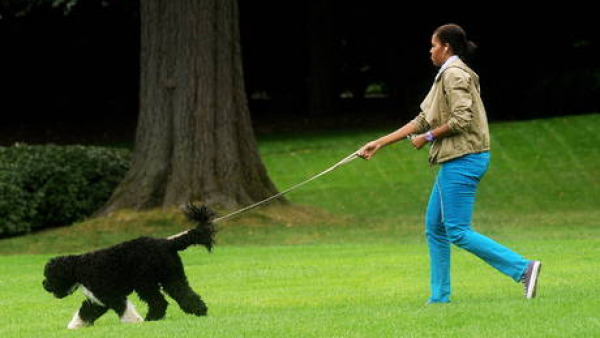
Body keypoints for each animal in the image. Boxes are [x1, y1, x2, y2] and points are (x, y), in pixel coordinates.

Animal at [44, 203, 218, 328]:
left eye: (49, 276)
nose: (44, 285)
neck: (79, 268)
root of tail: (167, 243)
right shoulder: (97, 300)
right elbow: (85, 312)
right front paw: (75, 326)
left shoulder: (110, 294)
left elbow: (123, 308)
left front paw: (134, 321)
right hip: (172, 277)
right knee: (185, 295)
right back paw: (200, 311)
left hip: (145, 282)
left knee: (159, 301)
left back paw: (151, 319)